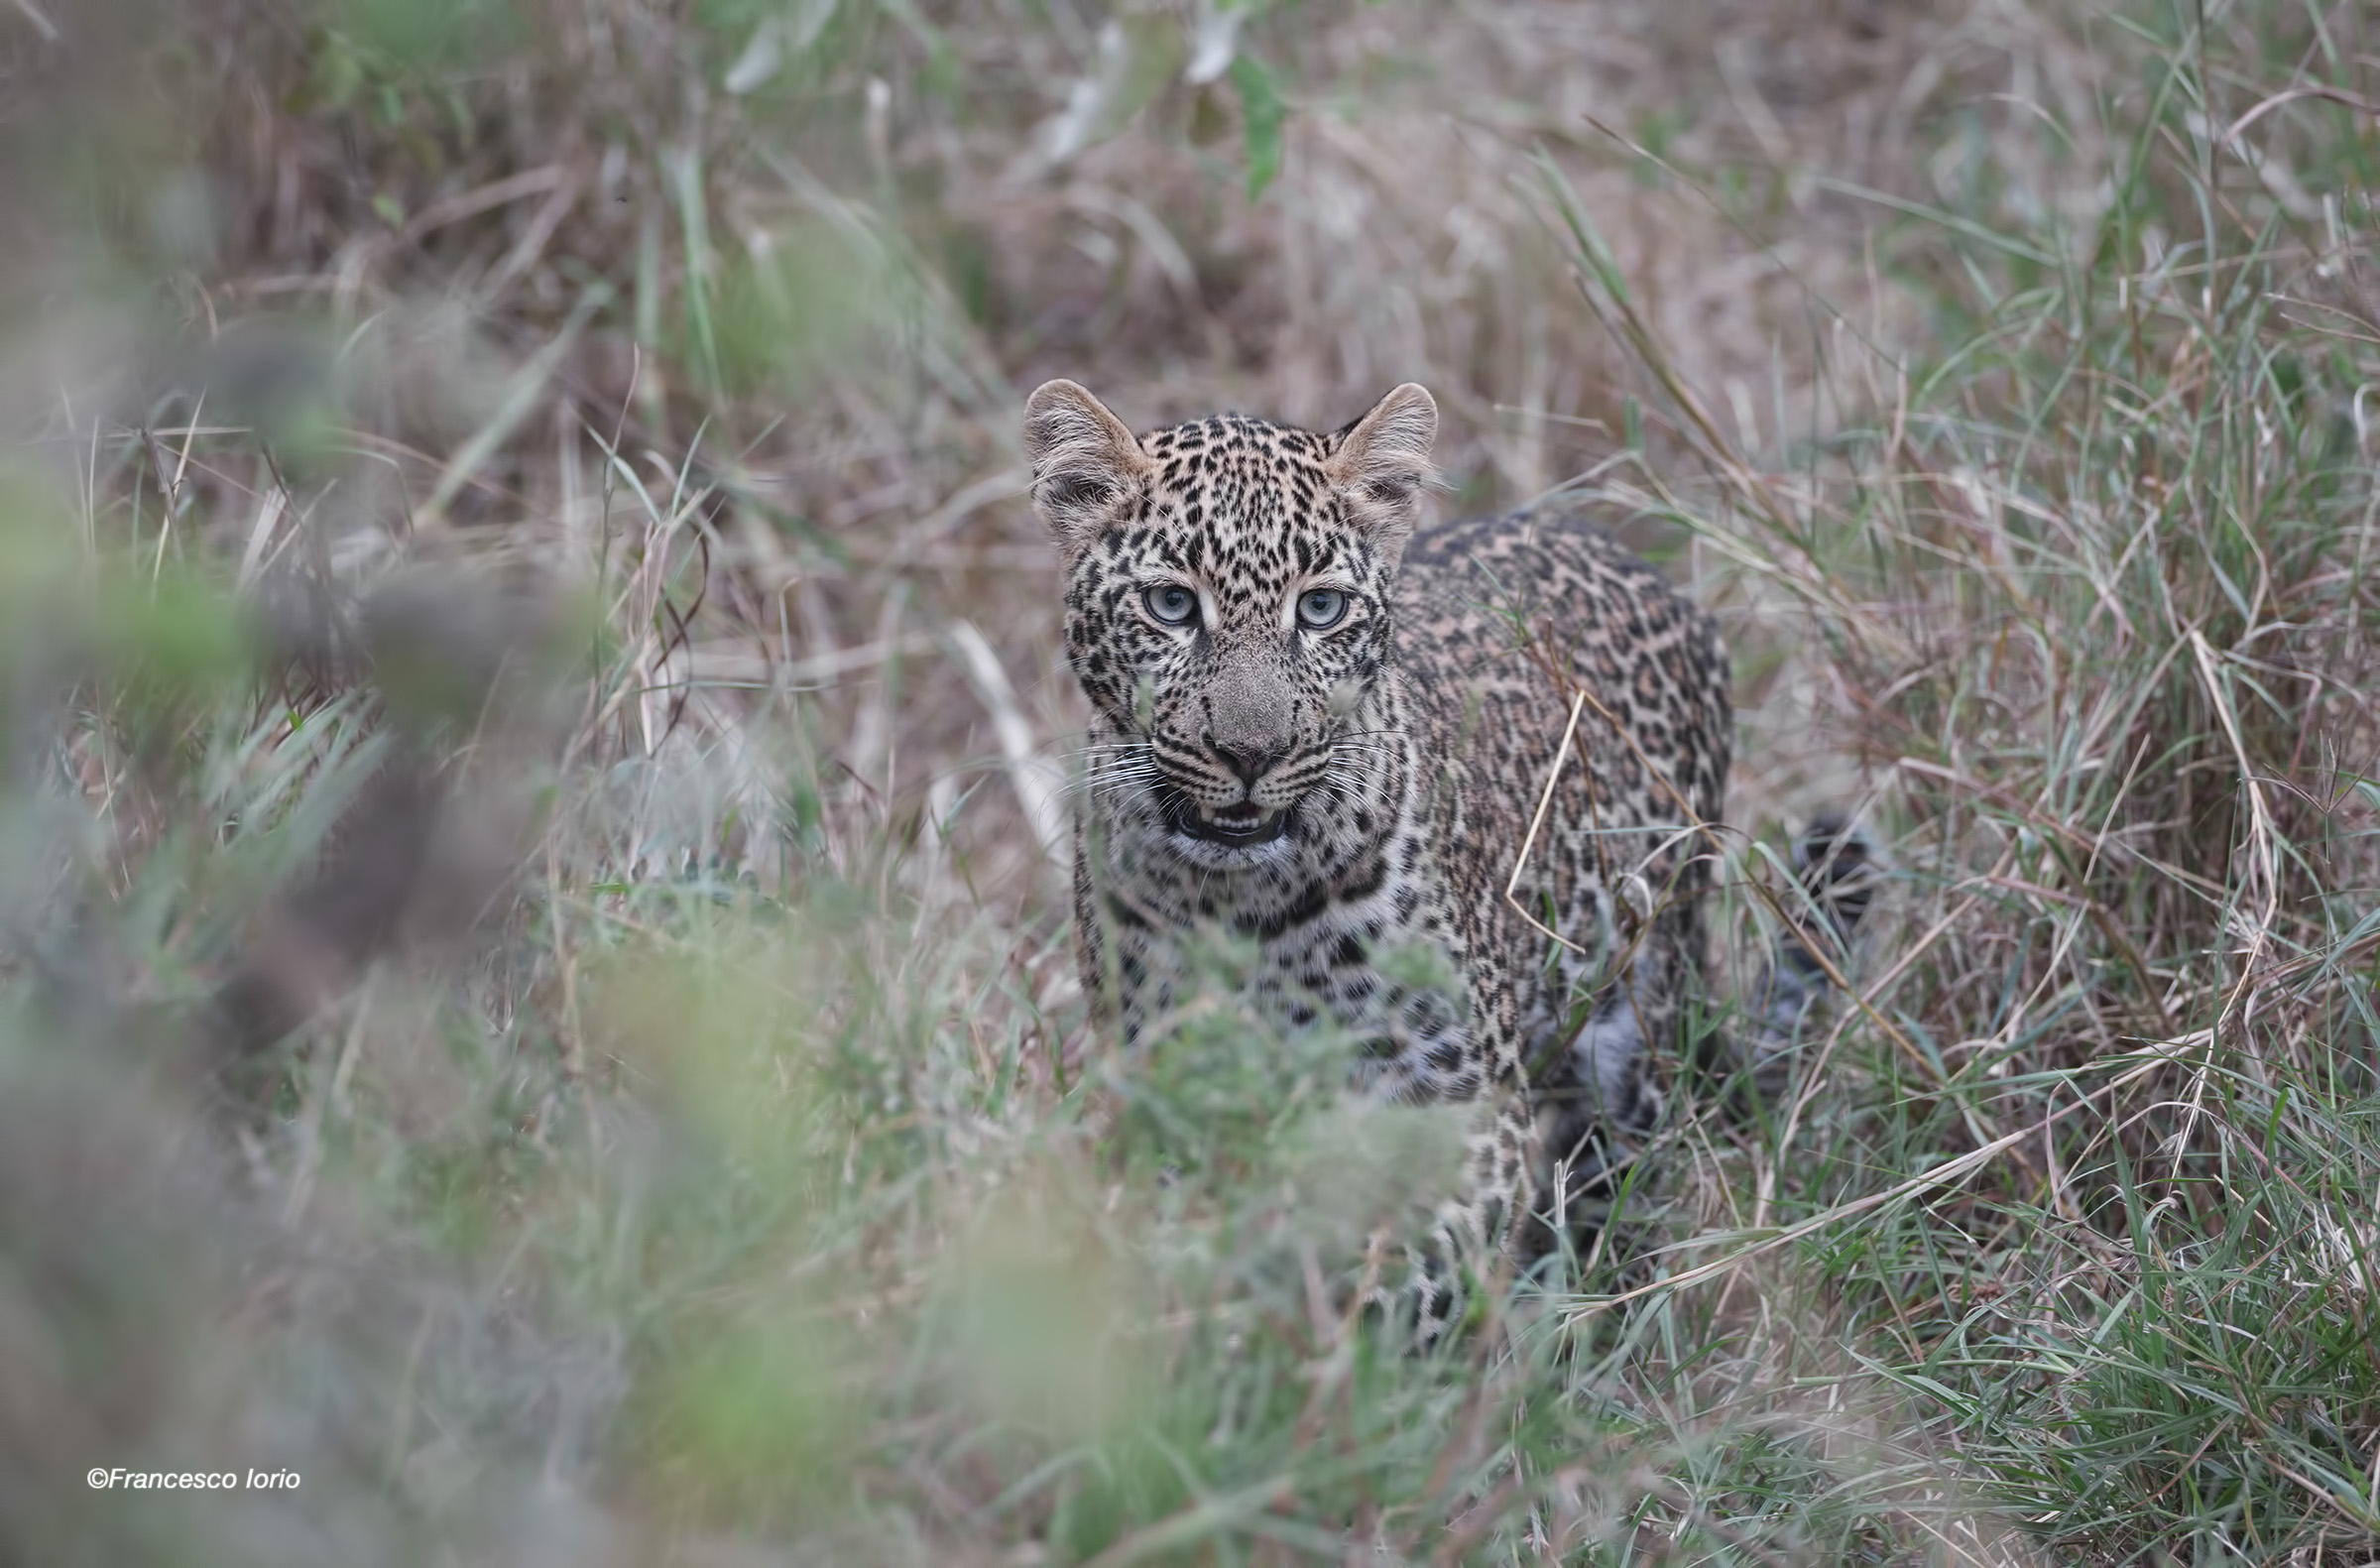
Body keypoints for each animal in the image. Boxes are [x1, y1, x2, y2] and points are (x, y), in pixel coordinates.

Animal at [1023, 378, 1873, 1337]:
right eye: (1171, 604)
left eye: (1320, 608)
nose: (1250, 752)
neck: (1246, 905)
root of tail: (1640, 565)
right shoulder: (1166, 1094)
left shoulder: (1460, 1109)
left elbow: (1407, 1278)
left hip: (1638, 1024)